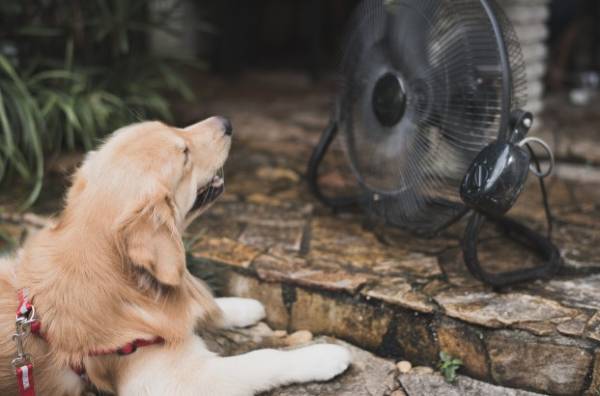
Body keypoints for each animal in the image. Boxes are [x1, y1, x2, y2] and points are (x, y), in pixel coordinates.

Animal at [0, 118, 352, 396]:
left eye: (171, 126)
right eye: (184, 155)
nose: (226, 122)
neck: (124, 280)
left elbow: (204, 303)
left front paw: (242, 307)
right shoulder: (175, 380)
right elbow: (263, 358)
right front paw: (323, 356)